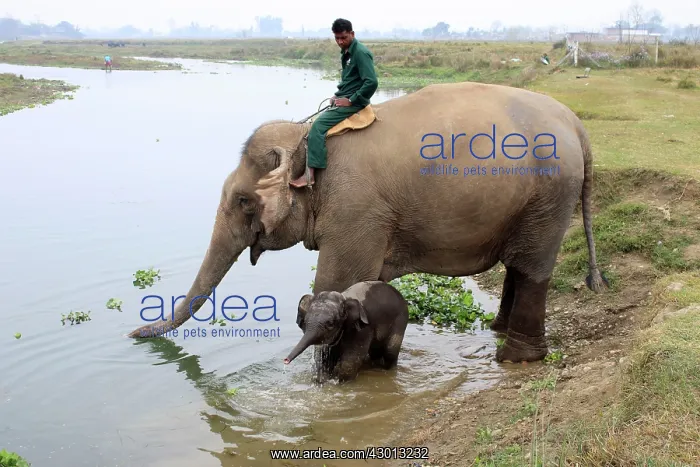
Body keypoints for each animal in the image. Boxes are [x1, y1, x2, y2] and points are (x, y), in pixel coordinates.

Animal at [127, 80, 608, 363]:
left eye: (244, 201)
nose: (133, 334)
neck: (306, 136)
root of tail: (576, 125)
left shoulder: (356, 210)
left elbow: (336, 283)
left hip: (550, 196)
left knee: (530, 268)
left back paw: (515, 358)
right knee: (517, 266)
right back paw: (499, 334)